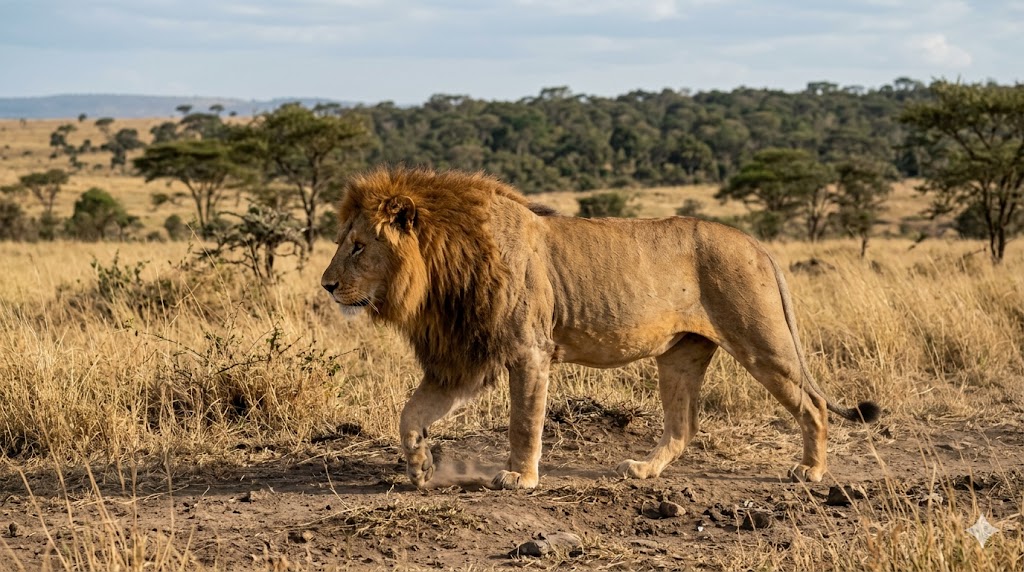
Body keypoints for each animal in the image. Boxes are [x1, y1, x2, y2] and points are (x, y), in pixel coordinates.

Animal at [321, 167, 880, 490]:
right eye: (343, 242)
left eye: (358, 246)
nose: (326, 285)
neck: (441, 269)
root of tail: (756, 242)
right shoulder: (468, 358)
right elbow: (409, 415)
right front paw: (419, 469)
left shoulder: (529, 349)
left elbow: (524, 422)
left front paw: (519, 477)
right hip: (680, 355)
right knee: (683, 427)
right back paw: (644, 471)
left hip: (761, 340)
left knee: (813, 404)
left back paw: (811, 471)